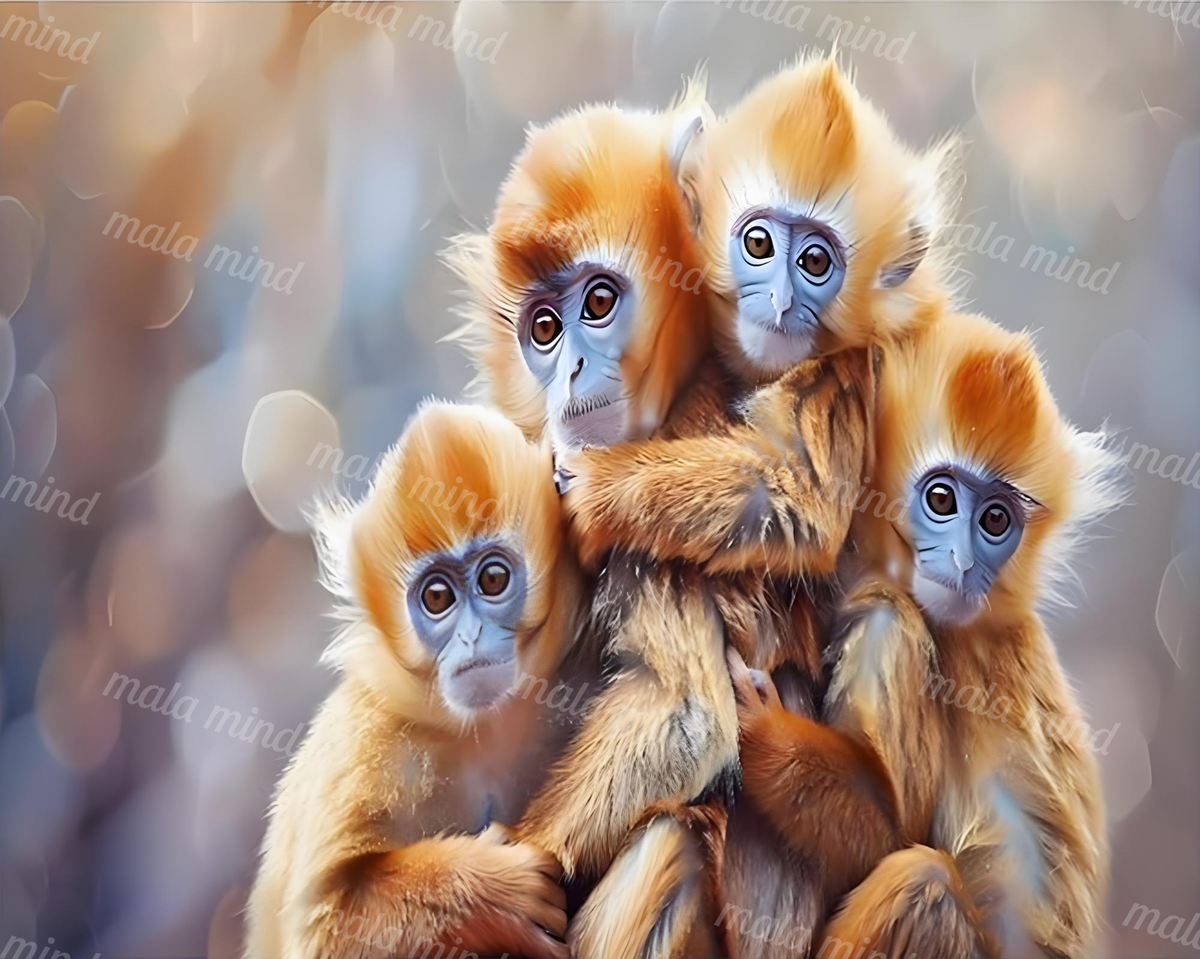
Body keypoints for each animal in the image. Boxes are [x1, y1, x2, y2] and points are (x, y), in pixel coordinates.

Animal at [244, 401, 595, 959]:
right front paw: (495, 891)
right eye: (436, 597)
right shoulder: (367, 741)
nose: (470, 637)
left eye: (493, 579)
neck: (485, 733)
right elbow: (323, 926)